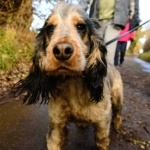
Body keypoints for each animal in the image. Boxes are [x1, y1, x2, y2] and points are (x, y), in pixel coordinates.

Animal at [12, 3, 123, 150]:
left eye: (81, 27)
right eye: (50, 28)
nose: (62, 51)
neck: (73, 84)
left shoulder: (102, 122)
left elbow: (102, 140)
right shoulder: (56, 125)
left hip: (117, 97)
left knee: (118, 112)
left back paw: (118, 125)